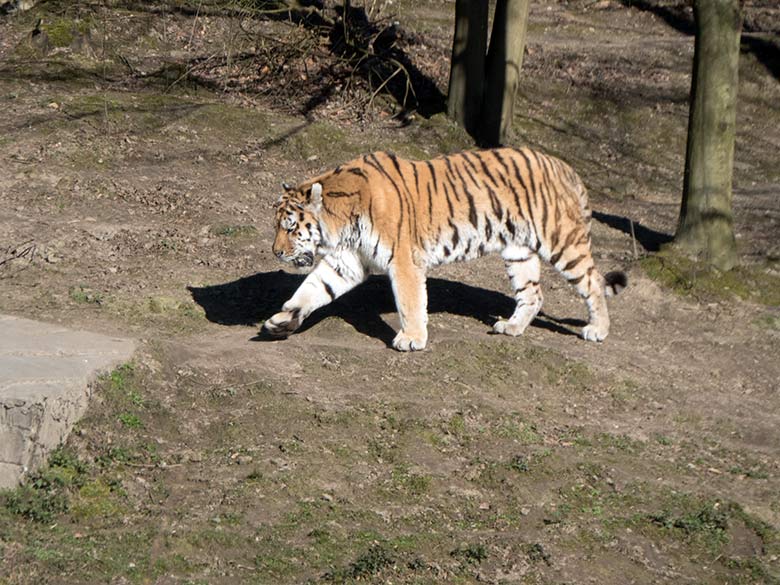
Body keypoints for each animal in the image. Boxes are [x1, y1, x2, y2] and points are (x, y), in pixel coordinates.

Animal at [266, 148, 624, 350]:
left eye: (291, 228)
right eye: (278, 226)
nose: (276, 252)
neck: (341, 224)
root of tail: (564, 166)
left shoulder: (403, 260)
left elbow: (410, 302)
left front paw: (412, 338)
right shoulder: (345, 262)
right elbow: (311, 290)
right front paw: (281, 321)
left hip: (562, 241)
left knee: (592, 281)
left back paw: (598, 330)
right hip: (518, 250)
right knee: (533, 294)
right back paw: (511, 328)